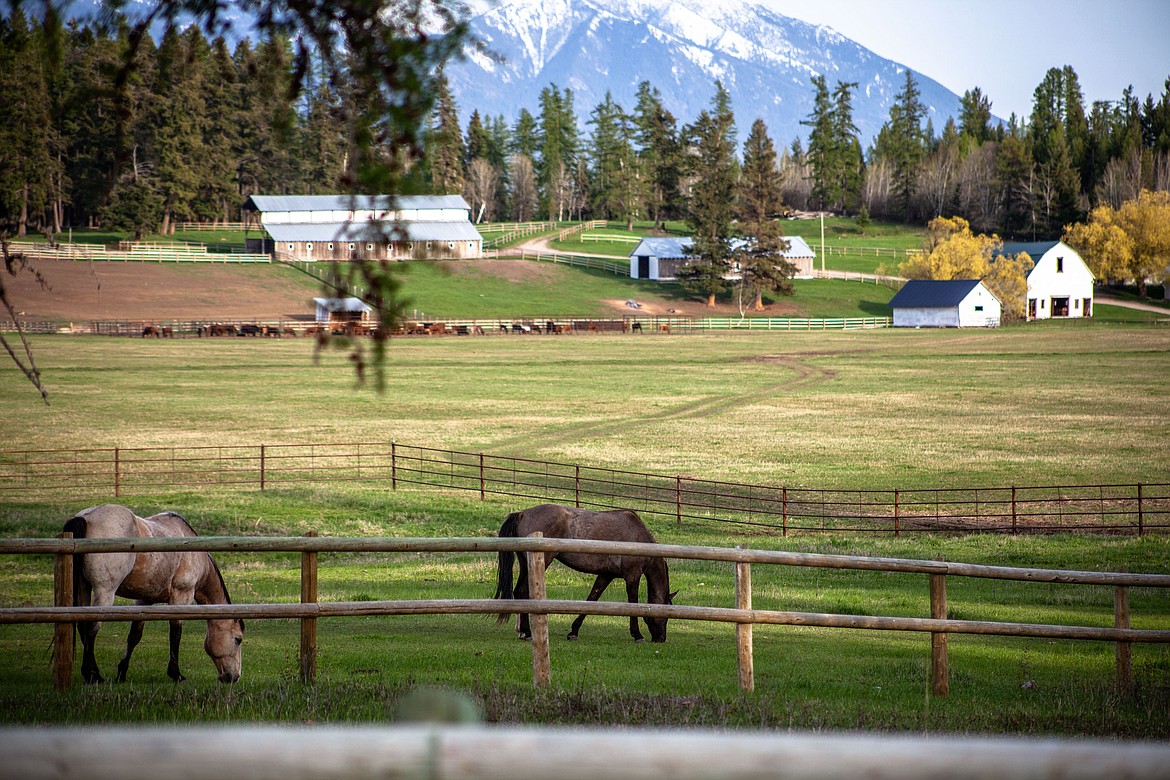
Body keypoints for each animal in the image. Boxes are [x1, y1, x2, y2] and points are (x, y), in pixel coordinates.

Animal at [62, 507, 243, 682]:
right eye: (238, 639)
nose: (234, 677)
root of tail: (86, 517)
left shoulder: (144, 600)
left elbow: (134, 636)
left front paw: (122, 673)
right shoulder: (181, 596)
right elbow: (175, 634)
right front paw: (176, 674)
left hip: (84, 587)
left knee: (83, 626)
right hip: (104, 591)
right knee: (92, 628)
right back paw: (93, 675)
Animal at [493, 502, 678, 645]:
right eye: (667, 615)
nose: (661, 638)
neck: (640, 538)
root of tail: (522, 514)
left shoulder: (606, 575)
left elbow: (592, 599)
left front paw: (573, 631)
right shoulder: (632, 576)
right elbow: (632, 603)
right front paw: (637, 635)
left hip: (526, 564)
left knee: (519, 592)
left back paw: (523, 631)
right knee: (523, 591)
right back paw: (527, 633)